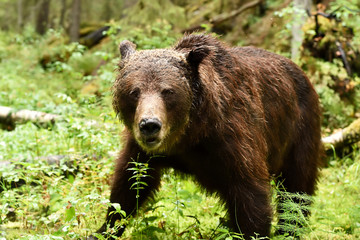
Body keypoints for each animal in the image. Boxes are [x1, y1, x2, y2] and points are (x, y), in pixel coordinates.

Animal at [91, 34, 322, 240]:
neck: (191, 133)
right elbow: (130, 183)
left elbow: (249, 192)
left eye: (168, 91)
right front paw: (103, 230)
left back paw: (290, 230)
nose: (150, 125)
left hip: (299, 131)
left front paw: (254, 233)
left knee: (297, 187)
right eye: (134, 92)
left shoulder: (234, 137)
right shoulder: (142, 150)